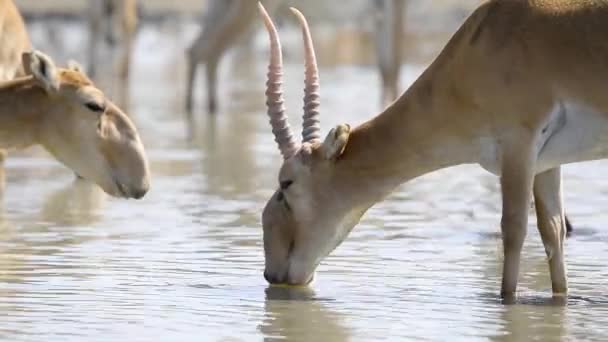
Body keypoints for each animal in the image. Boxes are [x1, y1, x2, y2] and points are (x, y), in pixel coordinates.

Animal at [255, 2, 600, 302]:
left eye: (286, 183)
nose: (272, 274)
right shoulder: (546, 162)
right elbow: (553, 231)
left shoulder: (519, 145)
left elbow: (513, 229)